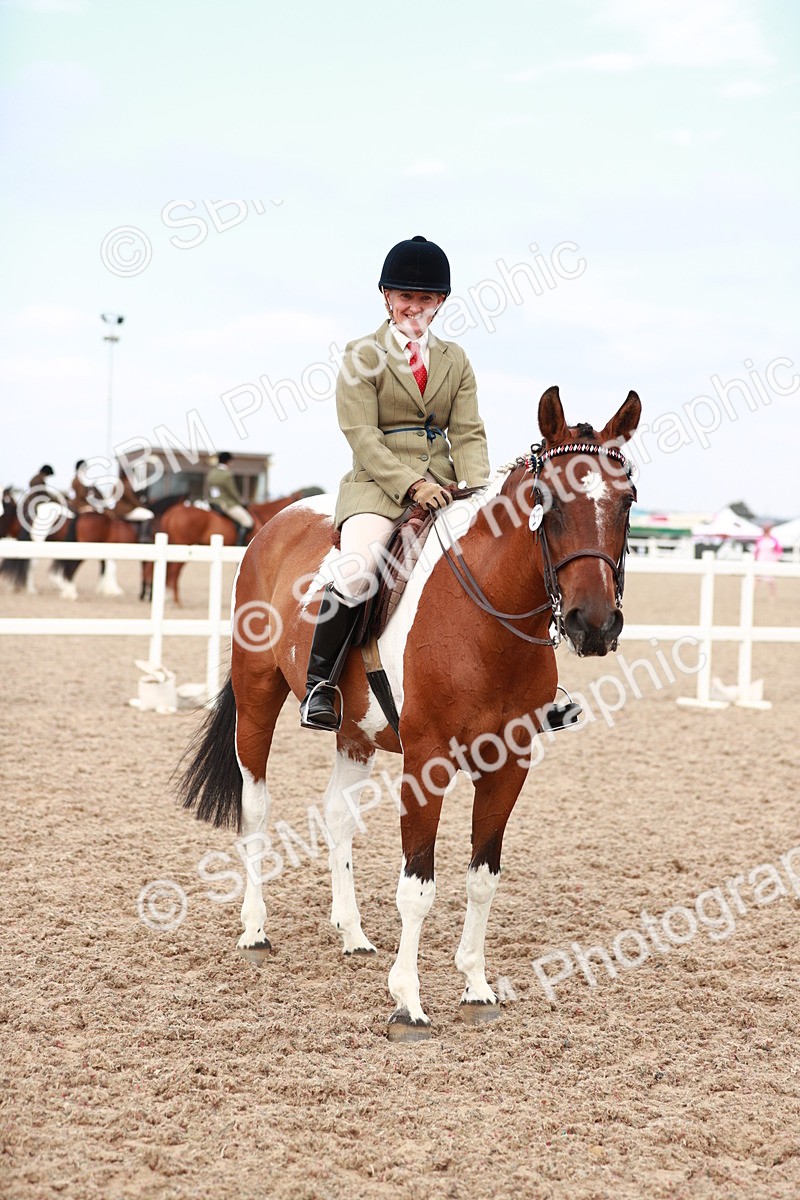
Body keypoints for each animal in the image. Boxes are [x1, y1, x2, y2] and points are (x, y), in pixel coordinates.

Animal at [179, 388, 641, 1040]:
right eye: (546, 502)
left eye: (626, 501)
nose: (594, 625)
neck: (487, 622)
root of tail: (280, 520)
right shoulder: (426, 764)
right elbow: (417, 887)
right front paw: (408, 1002)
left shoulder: (509, 768)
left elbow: (482, 877)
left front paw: (476, 988)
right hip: (258, 696)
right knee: (256, 806)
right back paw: (255, 929)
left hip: (354, 731)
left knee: (338, 816)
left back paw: (351, 933)